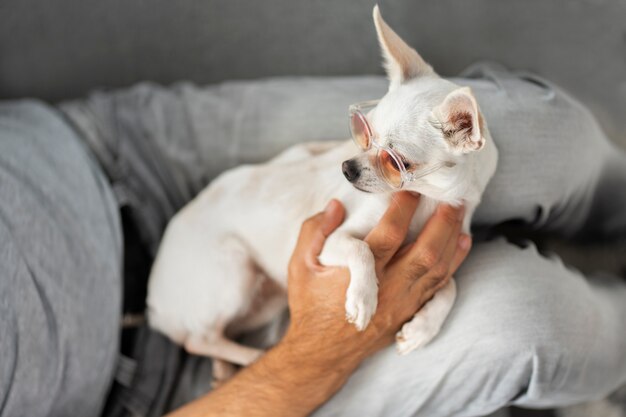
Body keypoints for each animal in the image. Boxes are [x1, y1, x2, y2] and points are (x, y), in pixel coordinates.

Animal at [146, 4, 498, 366]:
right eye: (363, 133)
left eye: (396, 160)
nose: (347, 168)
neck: (427, 199)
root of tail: (152, 307)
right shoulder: (329, 242)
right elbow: (361, 248)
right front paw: (363, 298)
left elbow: (450, 285)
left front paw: (423, 328)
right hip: (235, 273)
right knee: (198, 339)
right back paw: (253, 356)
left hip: (267, 295)